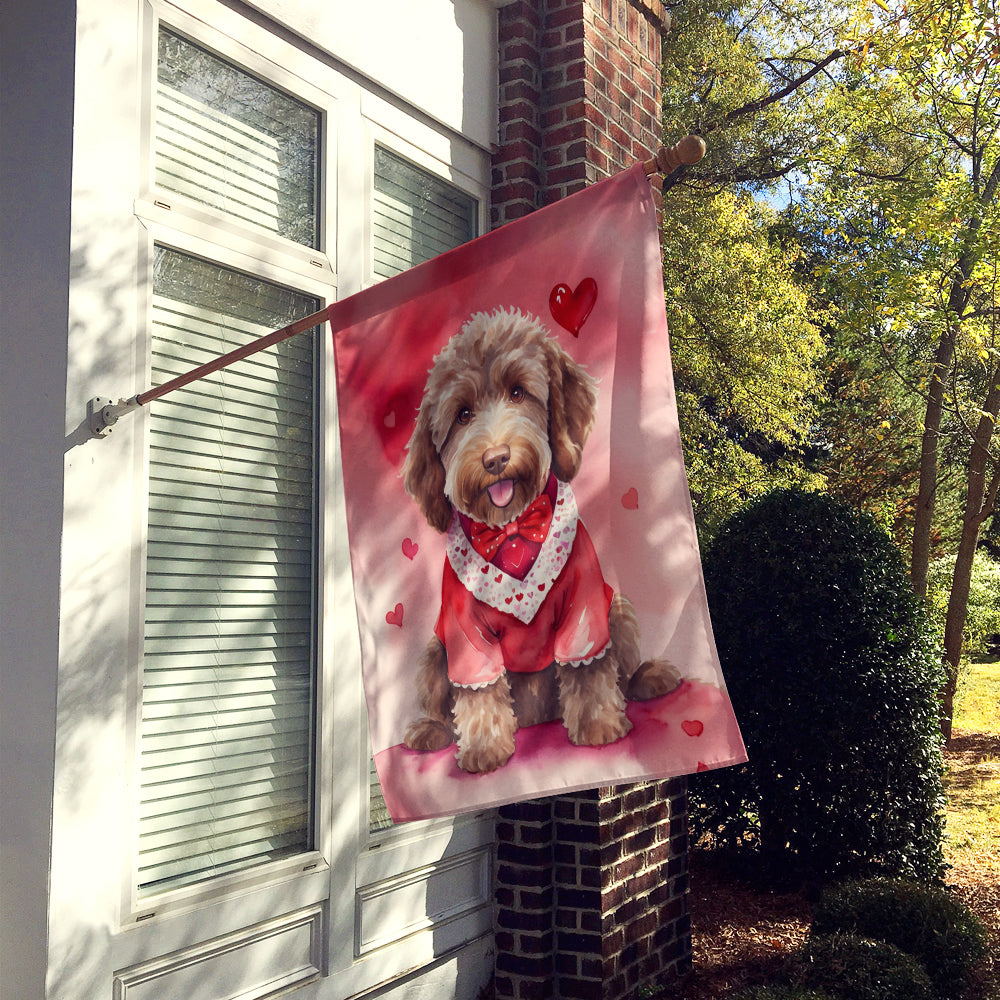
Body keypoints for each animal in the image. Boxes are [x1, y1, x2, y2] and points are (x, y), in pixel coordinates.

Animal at [398, 304, 680, 772]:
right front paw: (484, 749)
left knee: (623, 671)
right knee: (443, 702)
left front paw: (599, 726)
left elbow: (589, 670)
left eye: (518, 392)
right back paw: (430, 731)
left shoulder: (584, 606)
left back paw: (650, 678)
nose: (495, 459)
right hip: (435, 652)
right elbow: (478, 693)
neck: (512, 530)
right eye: (462, 415)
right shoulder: (465, 637)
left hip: (616, 608)